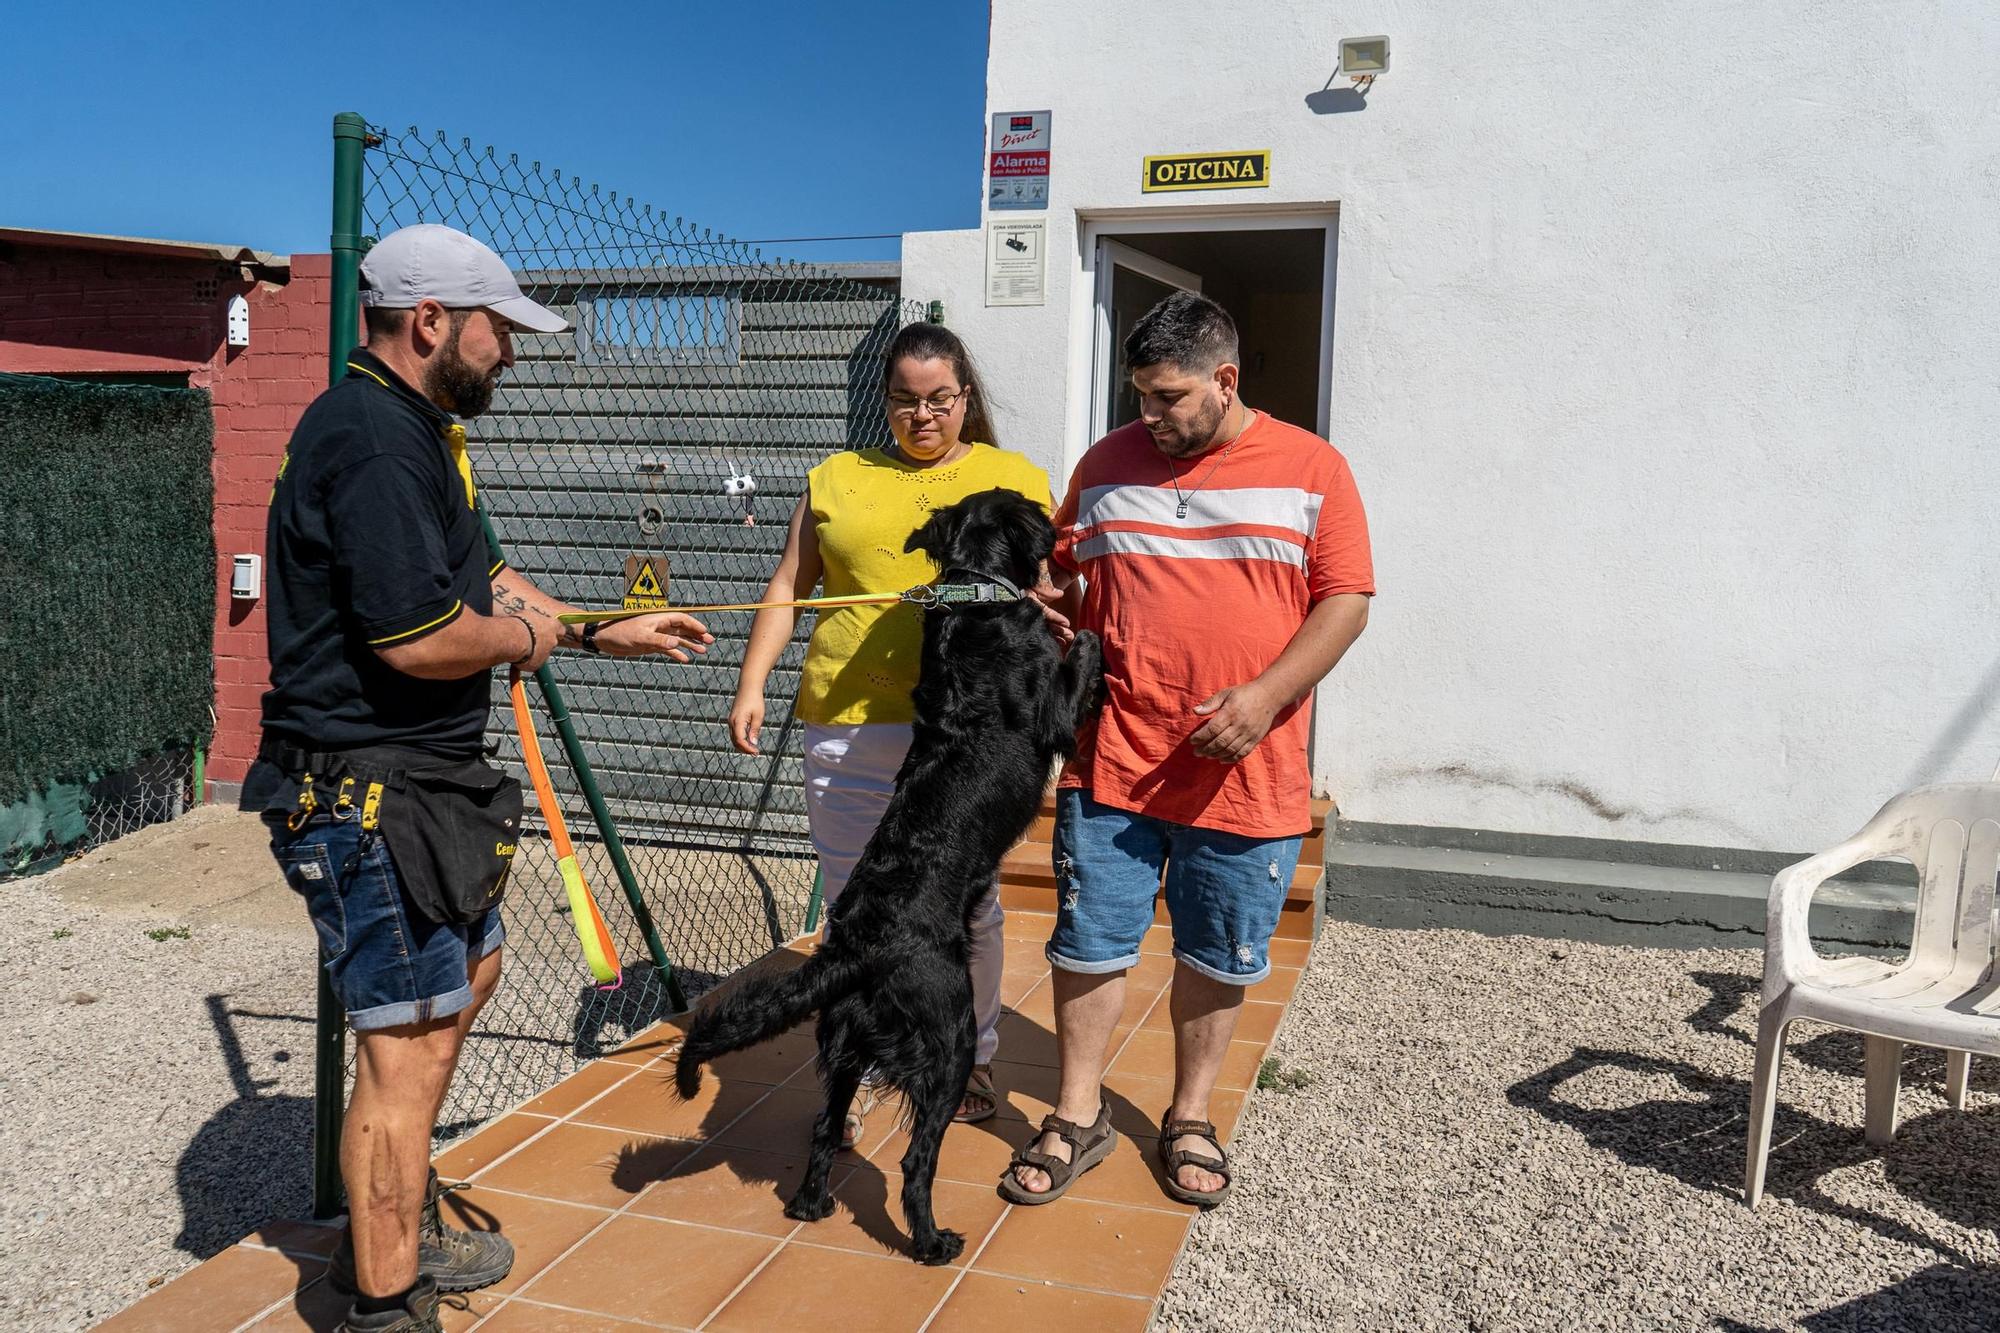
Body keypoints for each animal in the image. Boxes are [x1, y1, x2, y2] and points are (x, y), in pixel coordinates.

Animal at [680, 486, 1104, 1256]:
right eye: (1030, 504)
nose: (1059, 520)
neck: (975, 594)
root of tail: (856, 949)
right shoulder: (1053, 717)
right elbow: (1077, 657)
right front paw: (1080, 630)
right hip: (947, 1038)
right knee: (915, 1159)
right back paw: (931, 1242)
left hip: (846, 1046)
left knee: (823, 1132)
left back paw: (812, 1205)